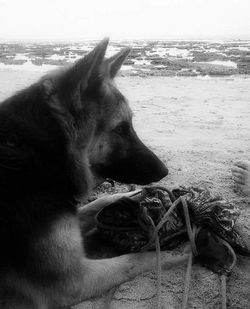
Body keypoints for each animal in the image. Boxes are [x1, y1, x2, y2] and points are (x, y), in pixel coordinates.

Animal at [0, 39, 187, 308]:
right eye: (121, 128)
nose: (165, 171)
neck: (46, 151)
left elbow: (96, 204)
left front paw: (131, 196)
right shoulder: (73, 281)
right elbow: (137, 260)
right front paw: (183, 251)